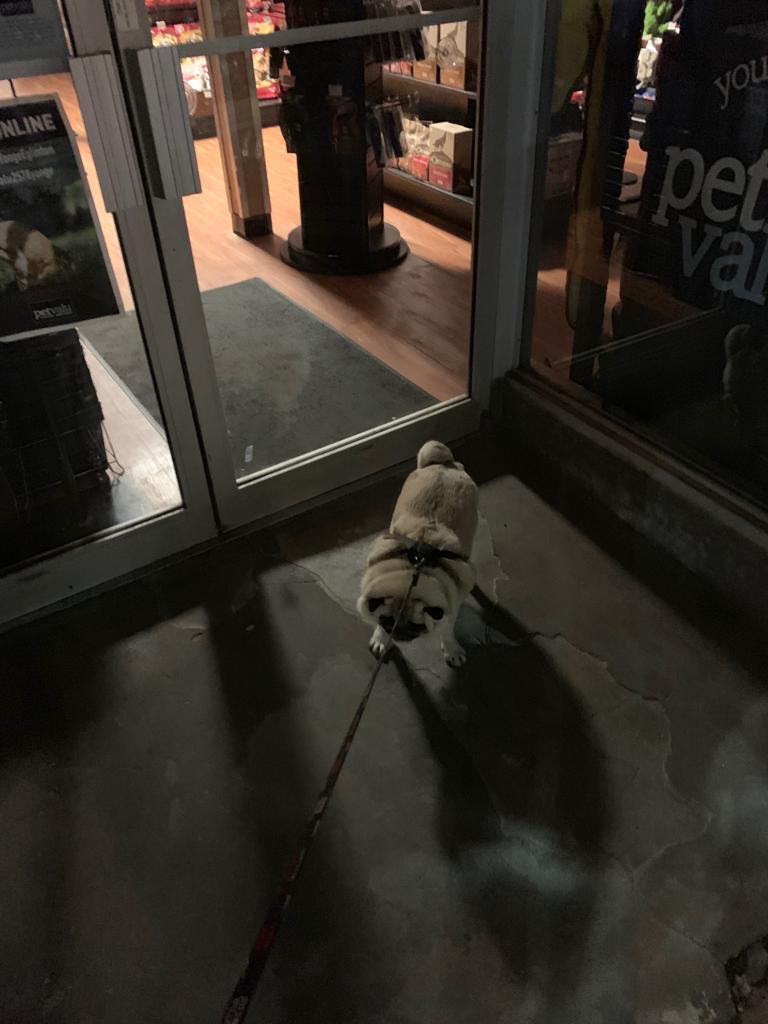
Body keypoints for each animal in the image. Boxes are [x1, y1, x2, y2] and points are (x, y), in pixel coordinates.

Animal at [357, 441, 478, 667]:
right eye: (387, 622)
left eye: (417, 627)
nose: (400, 635)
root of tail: (444, 465)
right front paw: (380, 638)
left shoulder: (450, 608)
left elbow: (447, 630)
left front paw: (451, 648)